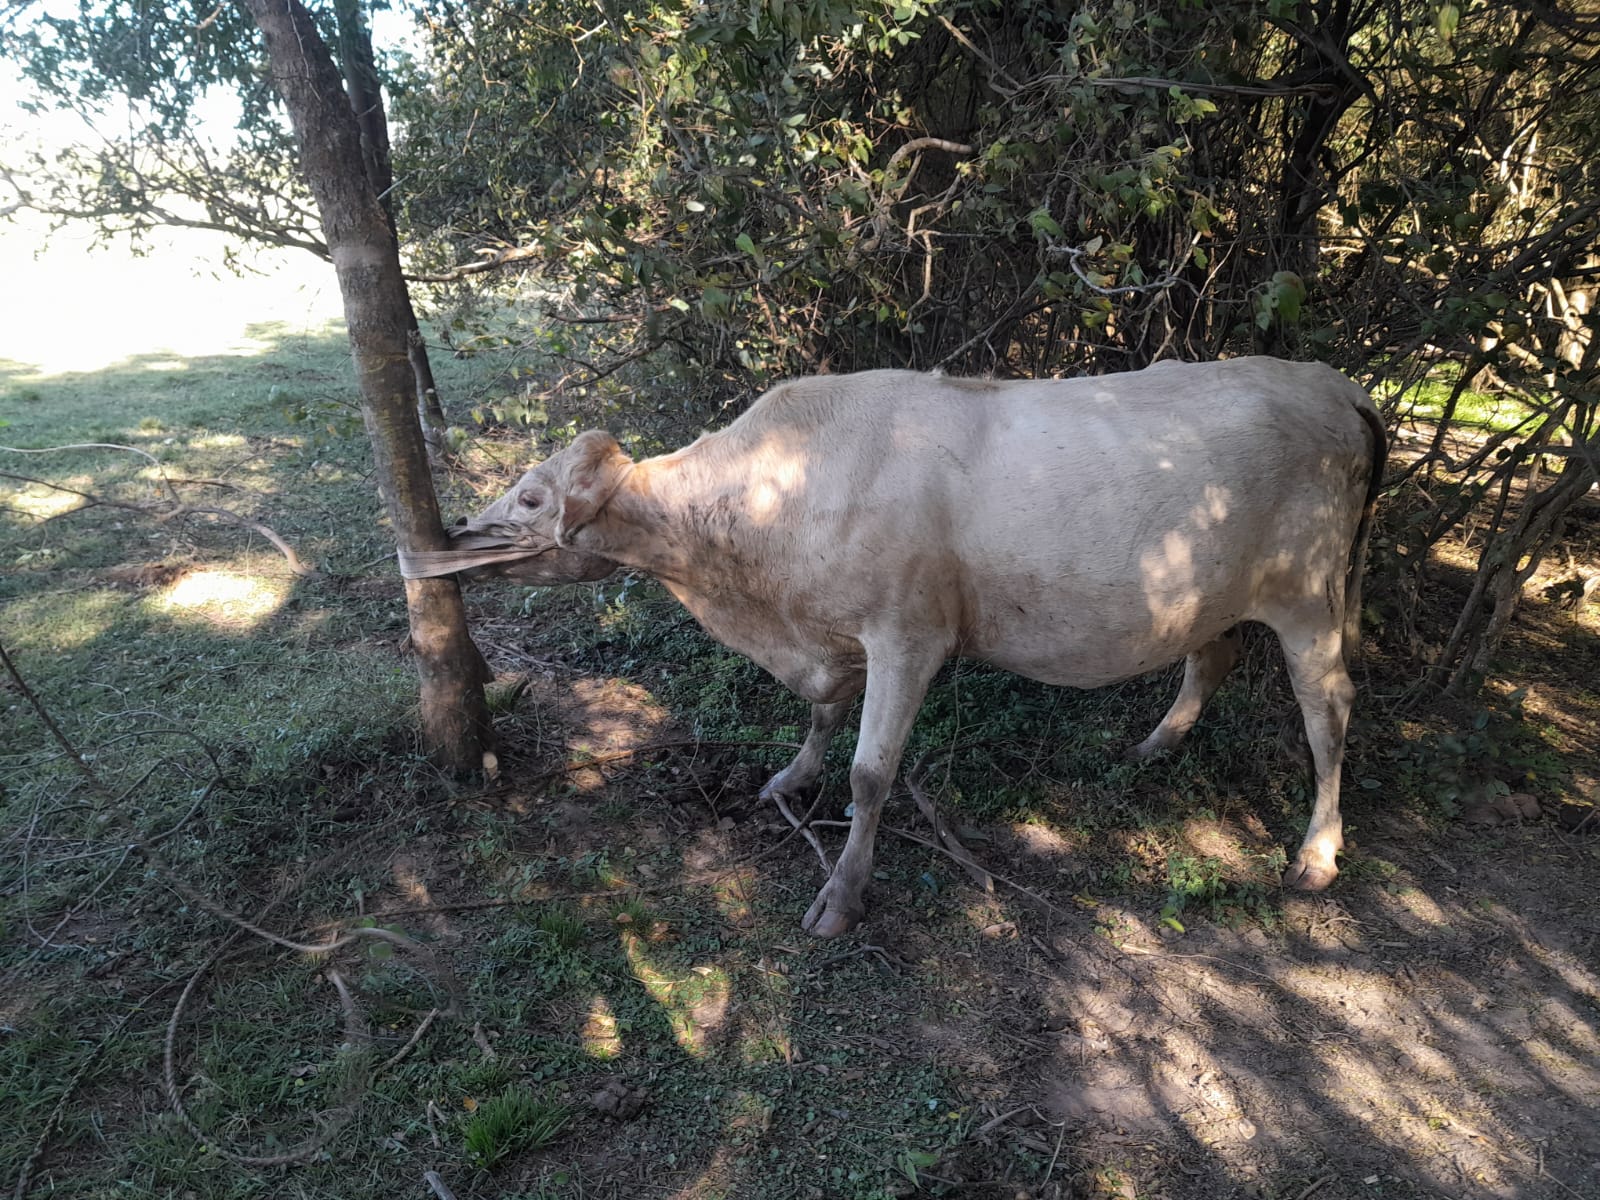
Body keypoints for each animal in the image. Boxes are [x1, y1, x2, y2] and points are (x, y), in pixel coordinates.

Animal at [403, 358, 1387, 938]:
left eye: (532, 498)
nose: (450, 535)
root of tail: (1334, 383)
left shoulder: (908, 632)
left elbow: (871, 773)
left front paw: (842, 894)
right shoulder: (829, 631)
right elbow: (821, 712)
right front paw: (789, 778)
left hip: (1307, 591)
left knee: (1329, 706)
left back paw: (1316, 854)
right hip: (1217, 592)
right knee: (1209, 657)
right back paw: (1155, 745)